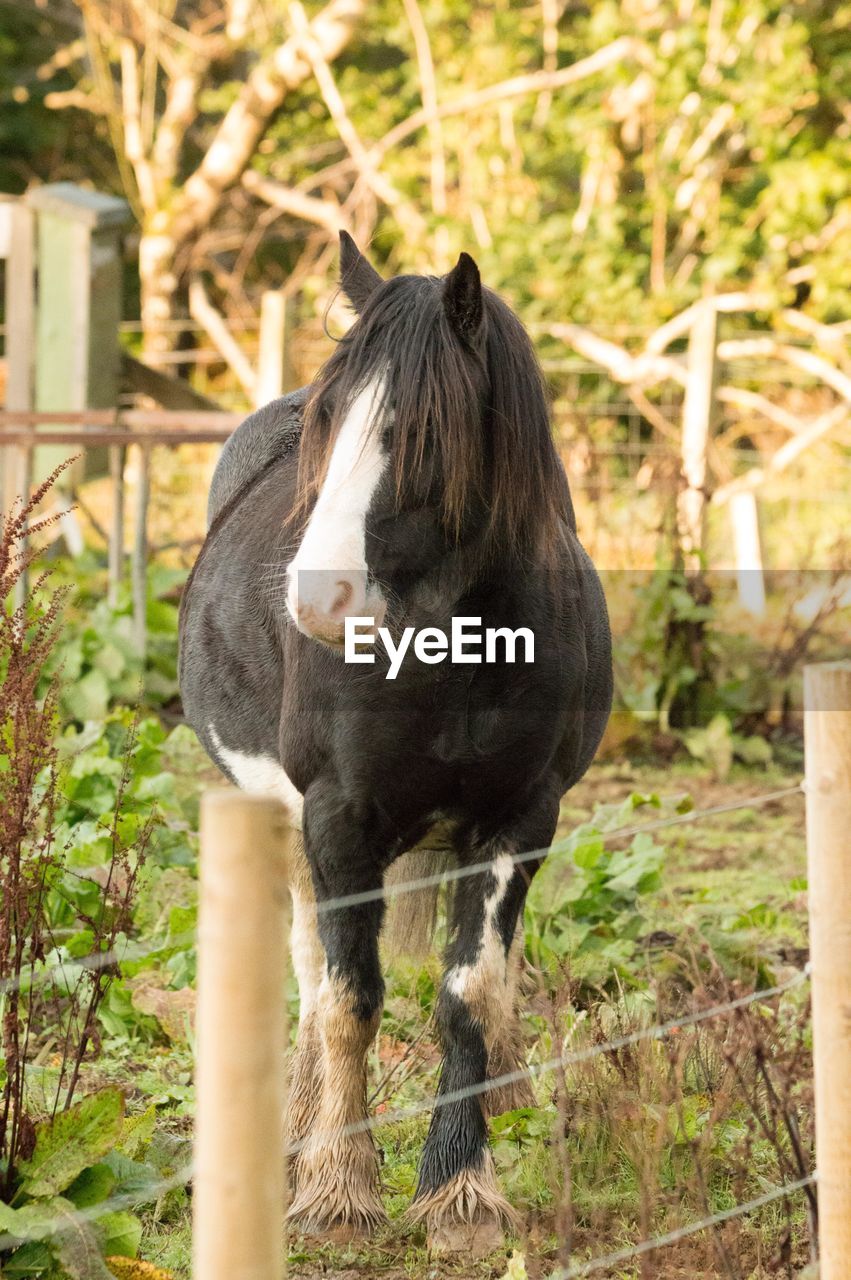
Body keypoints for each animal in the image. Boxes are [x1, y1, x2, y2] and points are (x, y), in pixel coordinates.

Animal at [179, 235, 614, 1254]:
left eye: (422, 433)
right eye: (328, 420)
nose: (316, 598)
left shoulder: (519, 821)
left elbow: (471, 995)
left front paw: (461, 1191)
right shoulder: (338, 819)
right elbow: (349, 999)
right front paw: (340, 1186)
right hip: (280, 818)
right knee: (309, 966)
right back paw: (300, 1126)